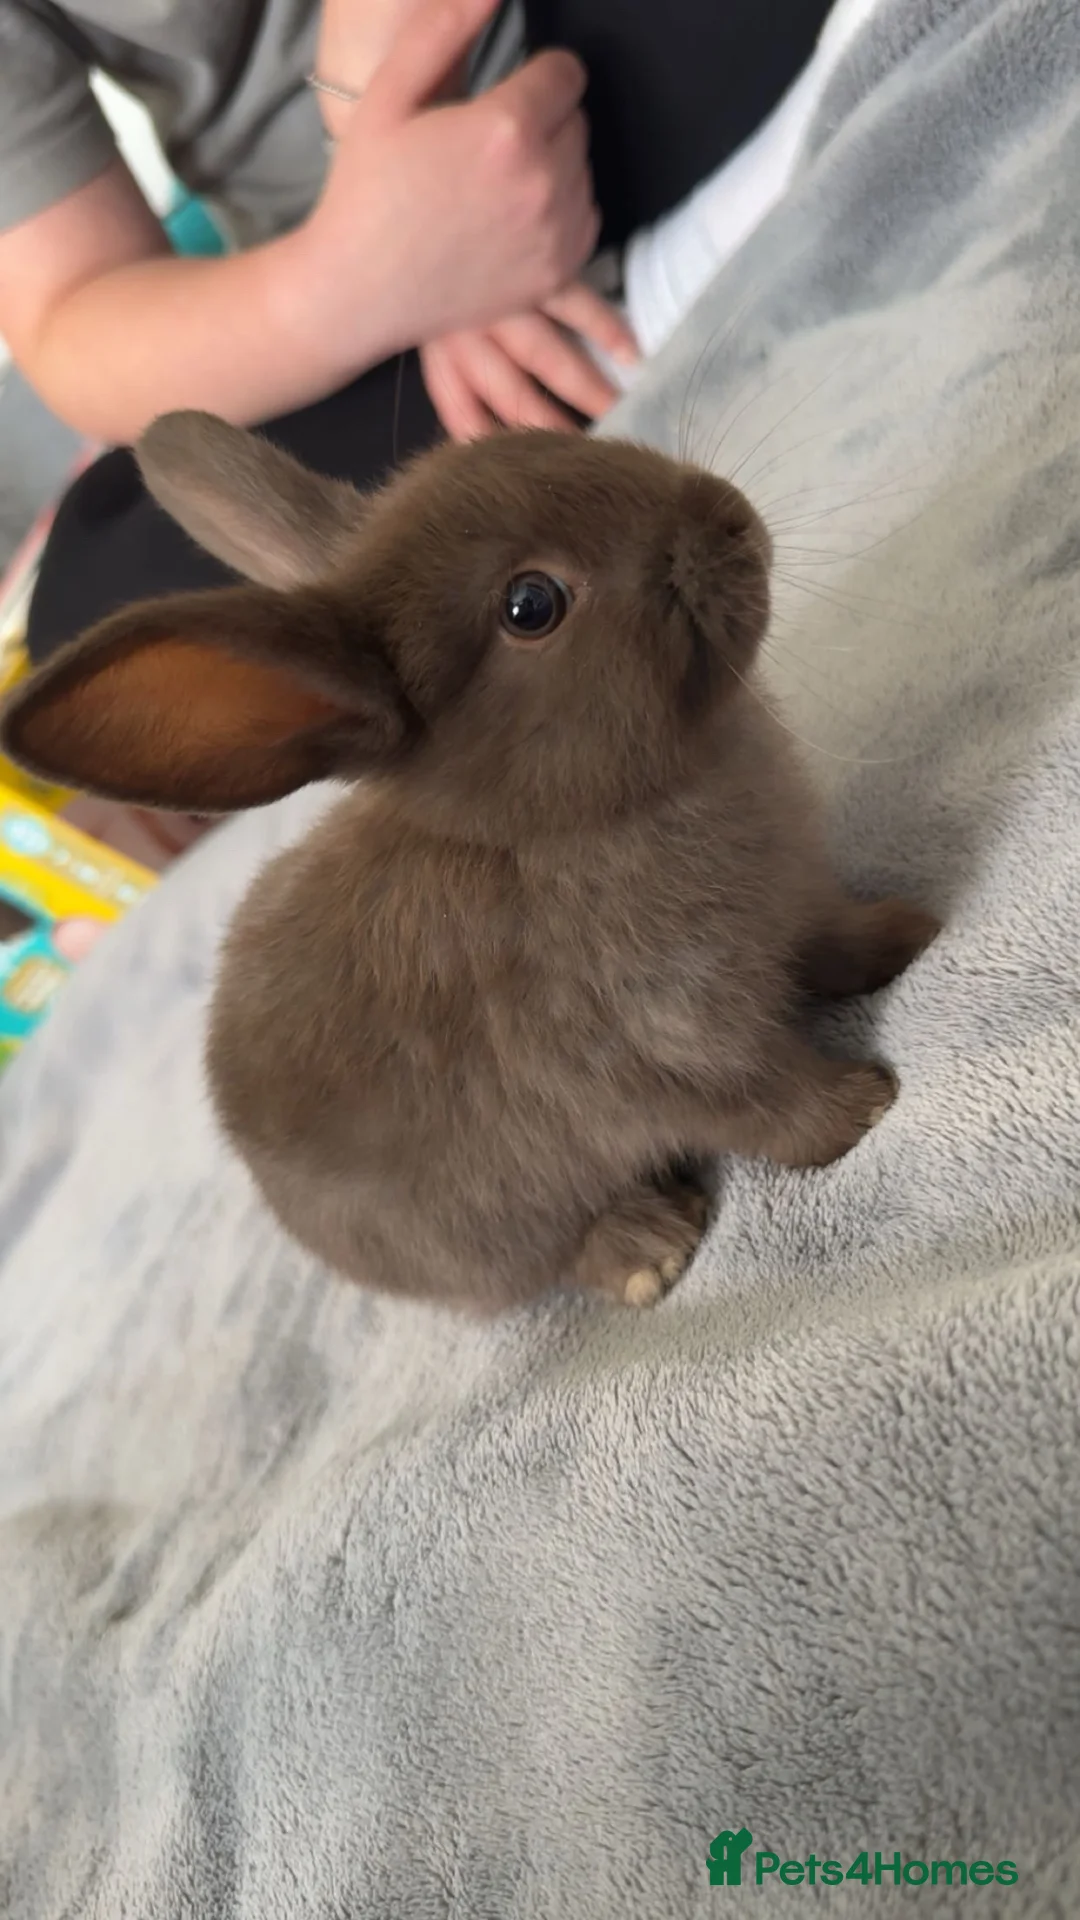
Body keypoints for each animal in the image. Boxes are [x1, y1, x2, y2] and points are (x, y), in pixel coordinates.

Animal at [0, 413, 939, 1313]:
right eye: (530, 605)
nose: (729, 515)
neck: (549, 829)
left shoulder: (800, 908)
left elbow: (838, 942)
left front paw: (912, 931)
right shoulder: (659, 1050)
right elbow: (766, 1104)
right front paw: (864, 1107)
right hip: (495, 1225)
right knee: (552, 1261)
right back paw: (648, 1250)